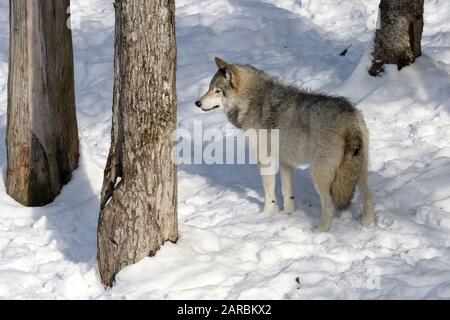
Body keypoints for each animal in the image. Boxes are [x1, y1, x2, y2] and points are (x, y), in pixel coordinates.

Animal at [195, 58, 374, 232]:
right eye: (209, 88)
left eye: (217, 91)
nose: (197, 103)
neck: (252, 100)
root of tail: (351, 118)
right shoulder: (285, 162)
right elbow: (288, 193)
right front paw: (289, 214)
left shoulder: (265, 160)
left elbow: (269, 194)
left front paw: (266, 216)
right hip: (358, 171)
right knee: (368, 197)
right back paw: (366, 223)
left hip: (319, 176)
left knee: (329, 205)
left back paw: (319, 231)